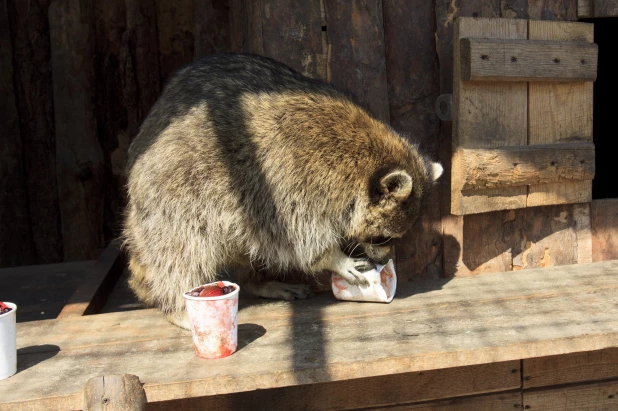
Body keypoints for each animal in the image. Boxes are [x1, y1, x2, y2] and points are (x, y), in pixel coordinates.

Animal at [125, 53, 440, 330]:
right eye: (384, 237)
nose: (382, 262)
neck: (362, 160)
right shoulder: (286, 182)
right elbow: (295, 237)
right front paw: (333, 258)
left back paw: (257, 281)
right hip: (174, 193)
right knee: (181, 249)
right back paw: (178, 306)